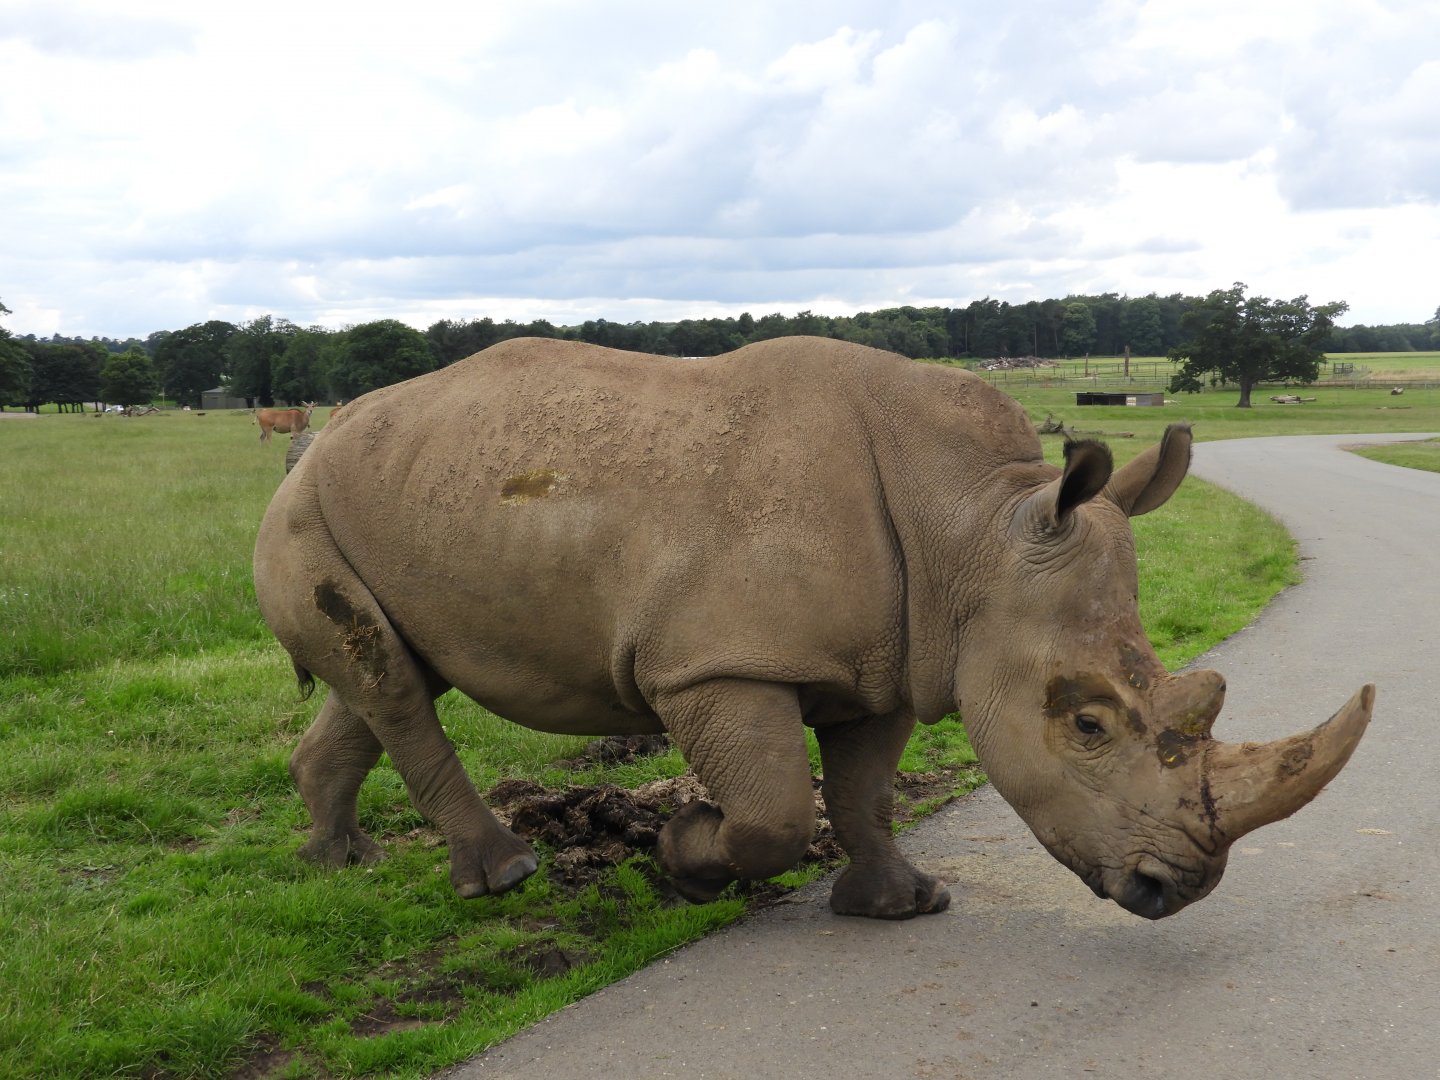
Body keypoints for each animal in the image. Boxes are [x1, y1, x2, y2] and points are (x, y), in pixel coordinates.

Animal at [253, 337, 1373, 920]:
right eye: (1088, 726)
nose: (1175, 888)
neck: (974, 524)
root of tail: (324, 434)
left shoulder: (900, 651)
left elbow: (866, 788)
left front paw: (902, 905)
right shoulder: (711, 664)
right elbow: (777, 809)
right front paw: (686, 853)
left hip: (398, 496)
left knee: (386, 675)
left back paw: (335, 863)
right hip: (304, 509)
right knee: (391, 681)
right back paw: (505, 878)